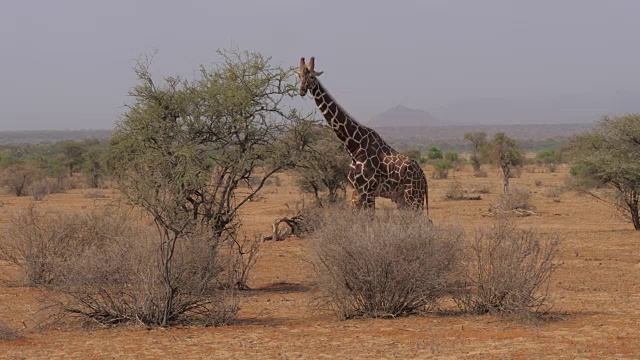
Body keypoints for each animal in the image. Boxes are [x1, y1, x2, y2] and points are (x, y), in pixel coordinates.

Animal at [296, 57, 430, 217]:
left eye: (311, 76)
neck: (353, 147)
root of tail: (423, 176)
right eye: (299, 76)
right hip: (401, 198)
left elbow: (370, 218)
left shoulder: (368, 190)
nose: (302, 90)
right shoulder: (357, 190)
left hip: (413, 196)